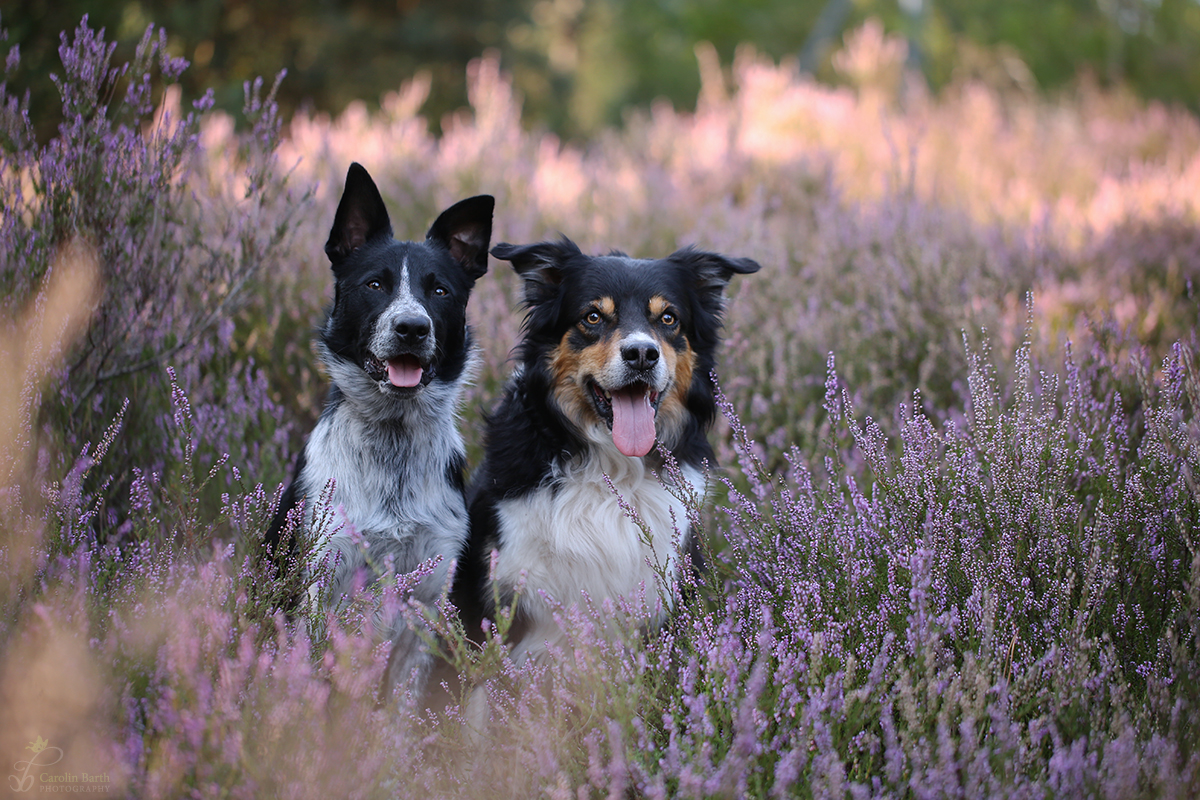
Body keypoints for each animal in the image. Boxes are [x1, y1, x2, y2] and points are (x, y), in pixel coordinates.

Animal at [271, 163, 492, 700]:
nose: (412, 328)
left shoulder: (427, 600)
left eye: (440, 291)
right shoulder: (320, 582)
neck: (393, 438)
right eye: (375, 285)